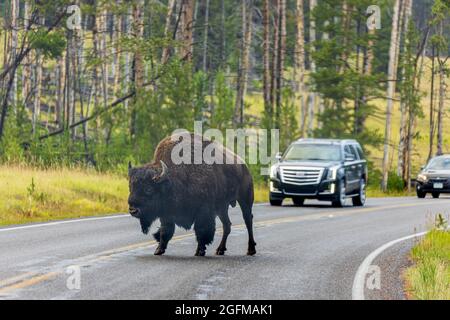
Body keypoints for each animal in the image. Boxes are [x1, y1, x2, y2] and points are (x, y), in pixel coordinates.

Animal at [127, 133, 256, 258]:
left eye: (148, 189)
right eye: (131, 187)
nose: (133, 210)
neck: (172, 179)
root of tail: (244, 165)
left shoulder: (203, 211)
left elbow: (201, 230)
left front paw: (199, 251)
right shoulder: (166, 214)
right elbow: (165, 231)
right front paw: (158, 250)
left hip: (245, 200)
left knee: (248, 221)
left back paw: (251, 250)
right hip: (222, 207)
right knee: (227, 225)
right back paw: (220, 250)